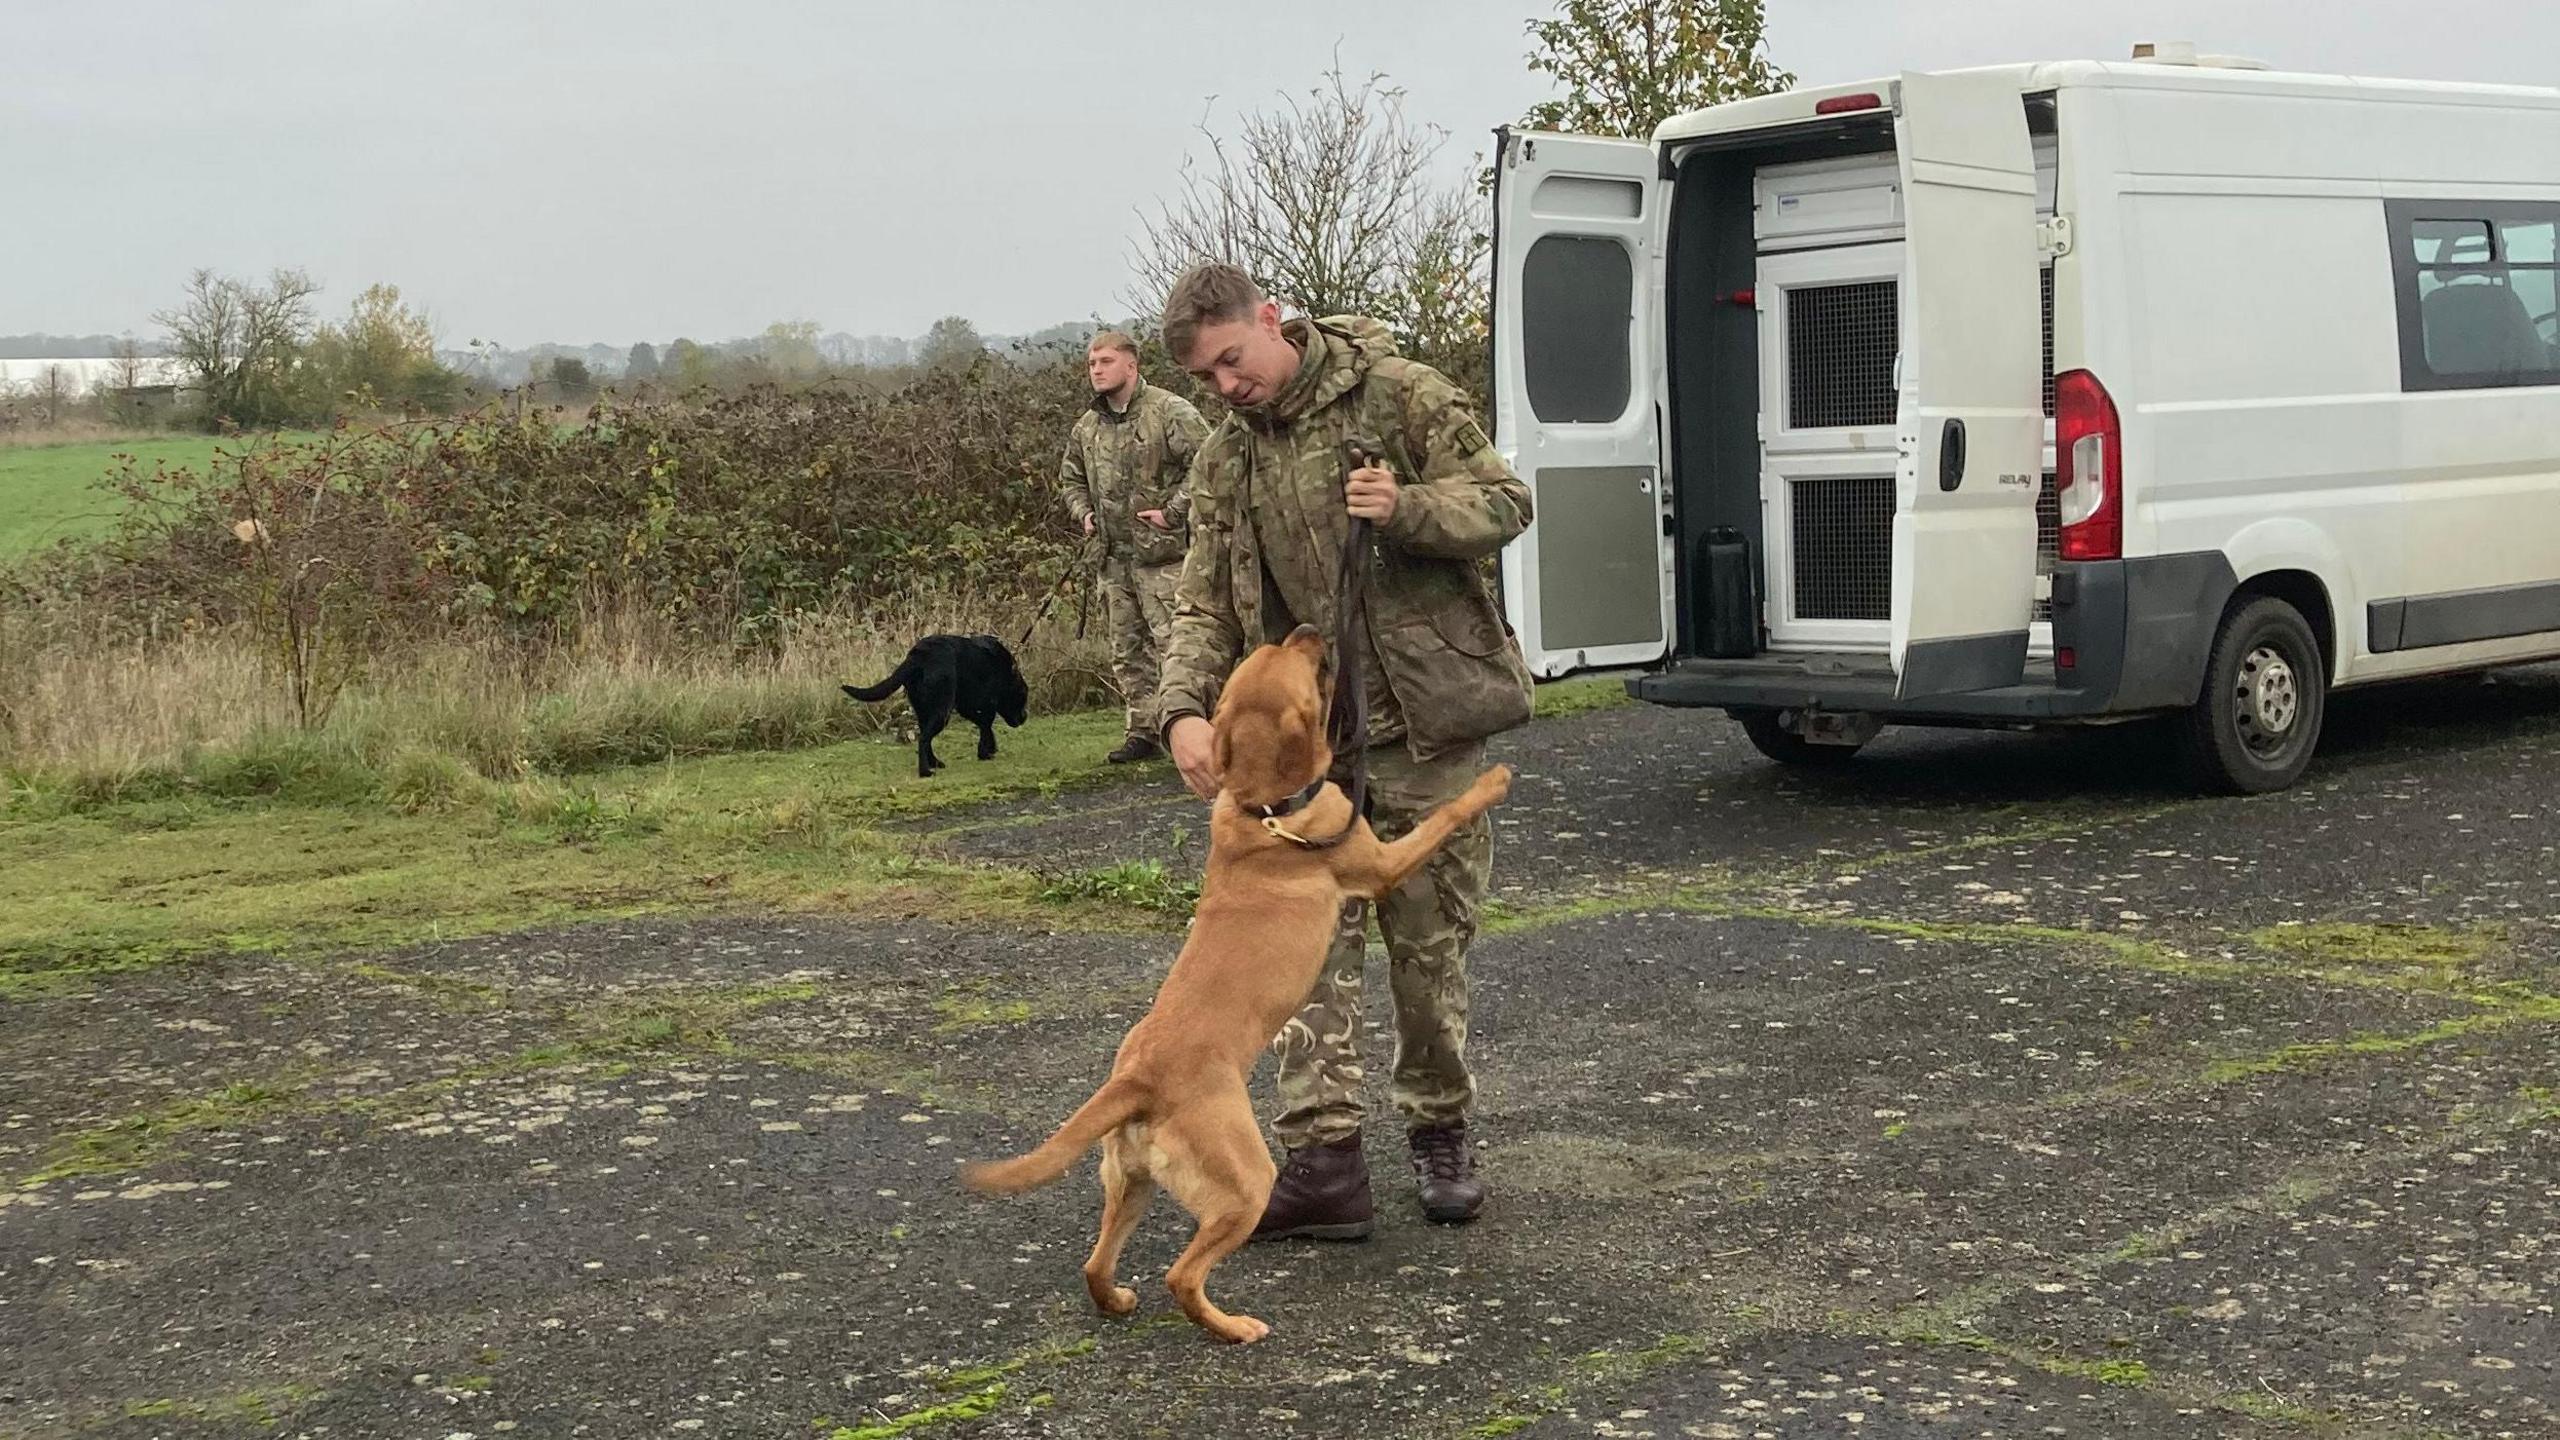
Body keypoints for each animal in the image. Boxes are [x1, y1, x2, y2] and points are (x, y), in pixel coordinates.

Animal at [844, 632, 1034, 778]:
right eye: (1023, 696)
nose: (1025, 717)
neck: (1005, 671)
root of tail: (918, 657)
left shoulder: (967, 706)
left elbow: (984, 726)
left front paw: (987, 750)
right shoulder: (984, 703)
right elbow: (986, 726)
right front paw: (986, 751)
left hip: (925, 710)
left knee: (925, 738)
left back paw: (934, 763)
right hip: (942, 711)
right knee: (923, 739)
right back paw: (925, 771)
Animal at [962, 622, 1515, 1342]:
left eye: (1261, 655)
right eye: (1293, 659)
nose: (1307, 628)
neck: (1264, 806)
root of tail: (1137, 1079)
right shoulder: (1381, 864)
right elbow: (1444, 814)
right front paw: (1492, 781)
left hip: (1130, 1182)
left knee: (1095, 1265)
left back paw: (1119, 1301)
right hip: (1245, 1179)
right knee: (1181, 1275)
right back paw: (1233, 1327)